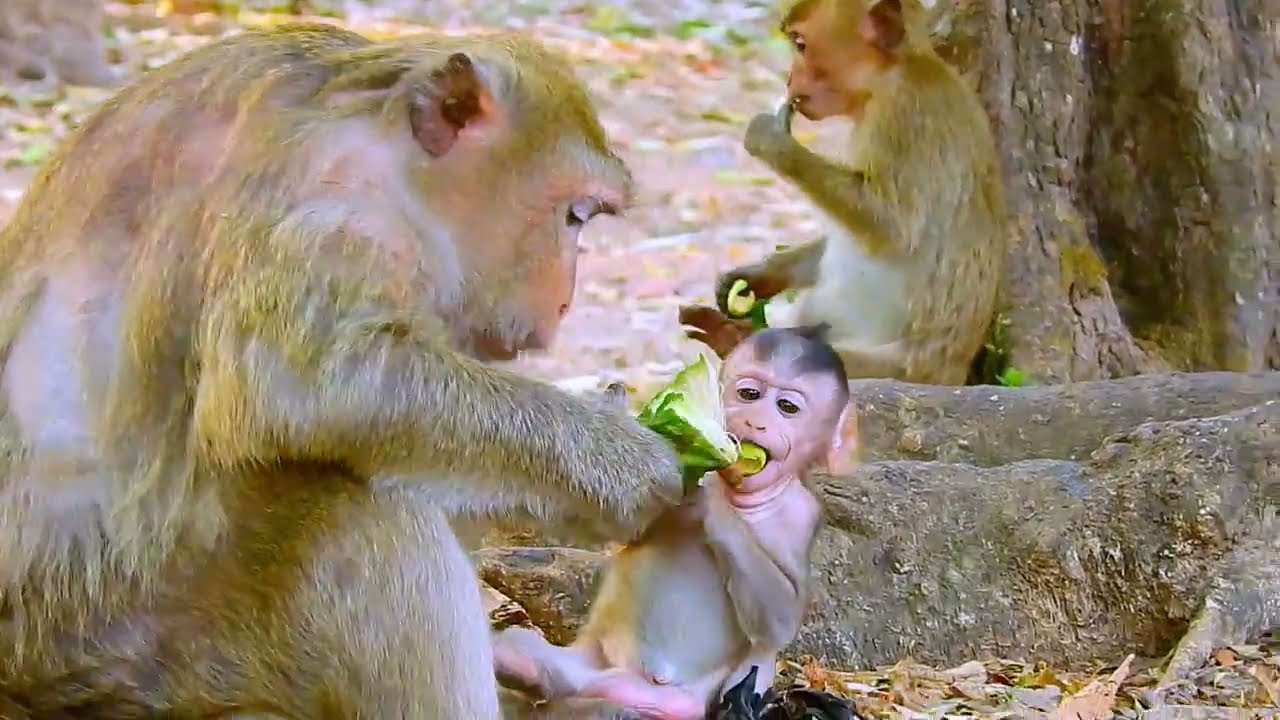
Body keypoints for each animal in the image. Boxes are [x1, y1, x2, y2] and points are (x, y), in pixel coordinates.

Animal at [0, 23, 686, 718]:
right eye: (573, 215)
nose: (566, 299)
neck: (390, 143)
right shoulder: (336, 206)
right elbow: (301, 386)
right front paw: (620, 463)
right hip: (144, 657)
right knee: (361, 513)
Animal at [493, 326, 855, 720]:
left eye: (787, 407)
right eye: (749, 394)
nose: (755, 420)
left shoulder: (802, 514)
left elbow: (783, 616)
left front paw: (709, 502)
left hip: (689, 697)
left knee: (750, 659)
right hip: (590, 661)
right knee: (523, 649)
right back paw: (523, 667)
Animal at [680, 0, 1007, 386]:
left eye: (800, 45)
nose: (789, 80)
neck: (893, 74)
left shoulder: (902, 117)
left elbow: (893, 227)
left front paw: (772, 140)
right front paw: (760, 275)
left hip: (890, 369)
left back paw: (736, 341)